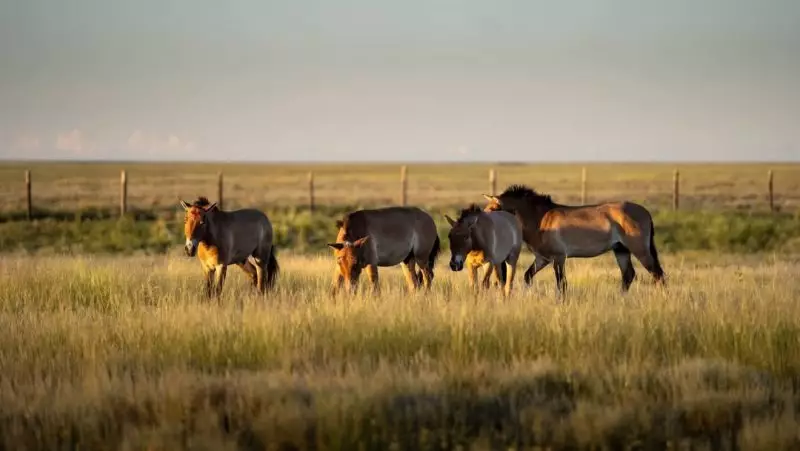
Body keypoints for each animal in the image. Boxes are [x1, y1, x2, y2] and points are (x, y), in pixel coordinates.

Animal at [483, 184, 665, 296]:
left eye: (493, 208)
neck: (541, 219)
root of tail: (646, 212)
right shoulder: (542, 259)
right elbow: (528, 276)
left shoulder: (559, 258)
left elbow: (561, 284)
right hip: (621, 250)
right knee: (628, 275)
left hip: (640, 250)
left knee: (658, 275)